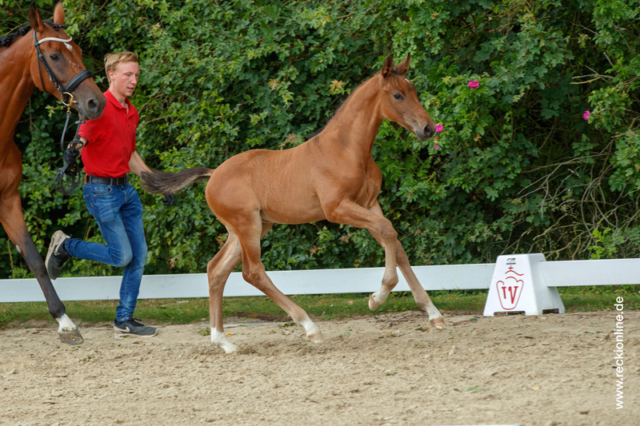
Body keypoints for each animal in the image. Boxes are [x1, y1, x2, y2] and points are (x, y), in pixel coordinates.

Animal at [0, 2, 105, 342]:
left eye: (80, 50)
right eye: (55, 56)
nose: (95, 102)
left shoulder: (8, 202)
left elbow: (34, 258)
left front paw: (64, 321)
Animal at [143, 54, 444, 352]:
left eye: (414, 91)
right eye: (397, 95)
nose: (428, 128)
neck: (346, 149)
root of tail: (213, 174)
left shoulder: (369, 203)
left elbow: (396, 244)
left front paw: (433, 314)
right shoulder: (337, 209)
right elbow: (387, 229)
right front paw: (376, 298)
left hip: (248, 228)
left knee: (216, 270)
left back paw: (223, 341)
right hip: (248, 226)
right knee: (252, 272)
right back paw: (310, 327)